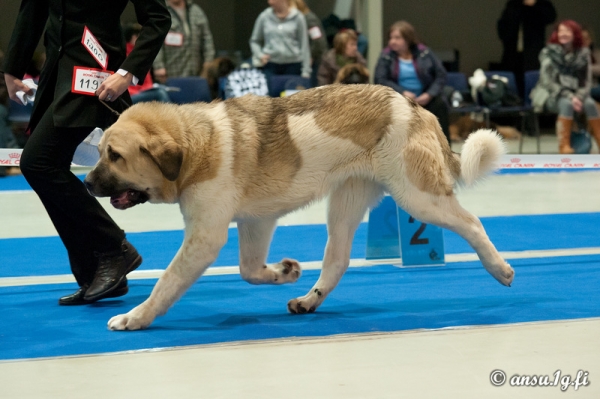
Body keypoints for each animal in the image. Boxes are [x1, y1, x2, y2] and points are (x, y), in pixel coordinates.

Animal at [84, 83, 512, 332]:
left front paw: (136, 317)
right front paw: (283, 272)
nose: (86, 184)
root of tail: (415, 107)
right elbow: (249, 270)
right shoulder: (255, 223)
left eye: (115, 156)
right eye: (101, 151)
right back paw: (309, 300)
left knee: (473, 223)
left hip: (420, 199)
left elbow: (167, 282)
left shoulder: (205, 237)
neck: (198, 142)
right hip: (345, 205)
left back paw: (500, 268)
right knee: (336, 260)